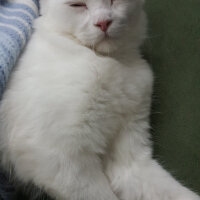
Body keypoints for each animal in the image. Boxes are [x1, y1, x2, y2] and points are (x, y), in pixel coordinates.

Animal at [0, 0, 200, 200]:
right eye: (77, 5)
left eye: (114, 1)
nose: (103, 22)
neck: (114, 62)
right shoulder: (56, 155)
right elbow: (103, 195)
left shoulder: (129, 156)